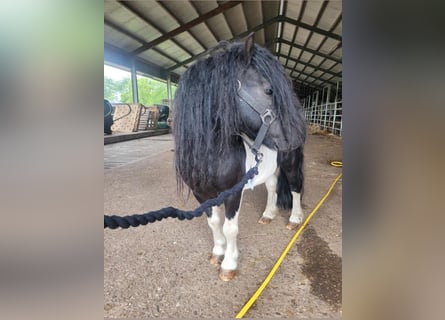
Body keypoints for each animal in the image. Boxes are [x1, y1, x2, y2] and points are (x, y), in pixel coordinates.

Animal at [173, 33, 306, 282]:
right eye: (269, 90)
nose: (298, 134)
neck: (211, 157)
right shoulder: (201, 194)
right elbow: (213, 222)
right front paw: (218, 252)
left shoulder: (232, 193)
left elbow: (230, 228)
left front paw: (229, 264)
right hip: (271, 168)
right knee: (272, 187)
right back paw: (268, 215)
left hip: (291, 164)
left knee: (295, 188)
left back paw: (295, 219)